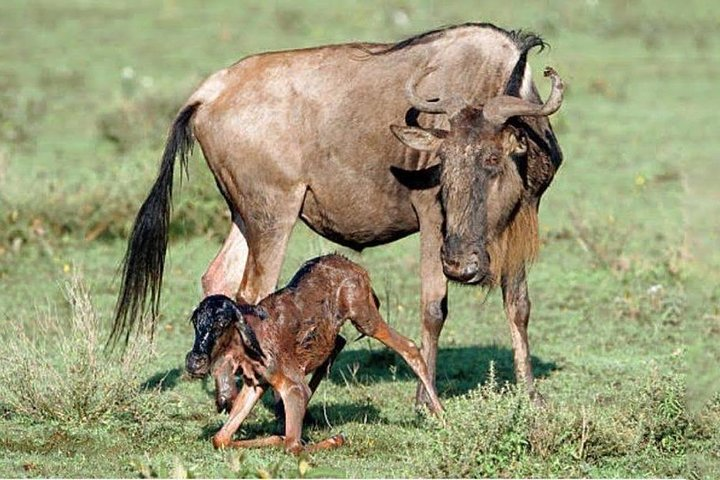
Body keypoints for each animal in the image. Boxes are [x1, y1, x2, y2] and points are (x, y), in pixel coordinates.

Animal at [184, 255, 444, 454]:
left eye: (221, 323)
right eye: (195, 322)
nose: (194, 362)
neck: (251, 342)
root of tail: (354, 266)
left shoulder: (293, 388)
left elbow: (292, 445)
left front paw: (336, 438)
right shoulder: (256, 383)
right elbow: (220, 438)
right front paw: (280, 434)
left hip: (364, 317)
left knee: (409, 346)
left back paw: (441, 415)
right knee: (339, 342)